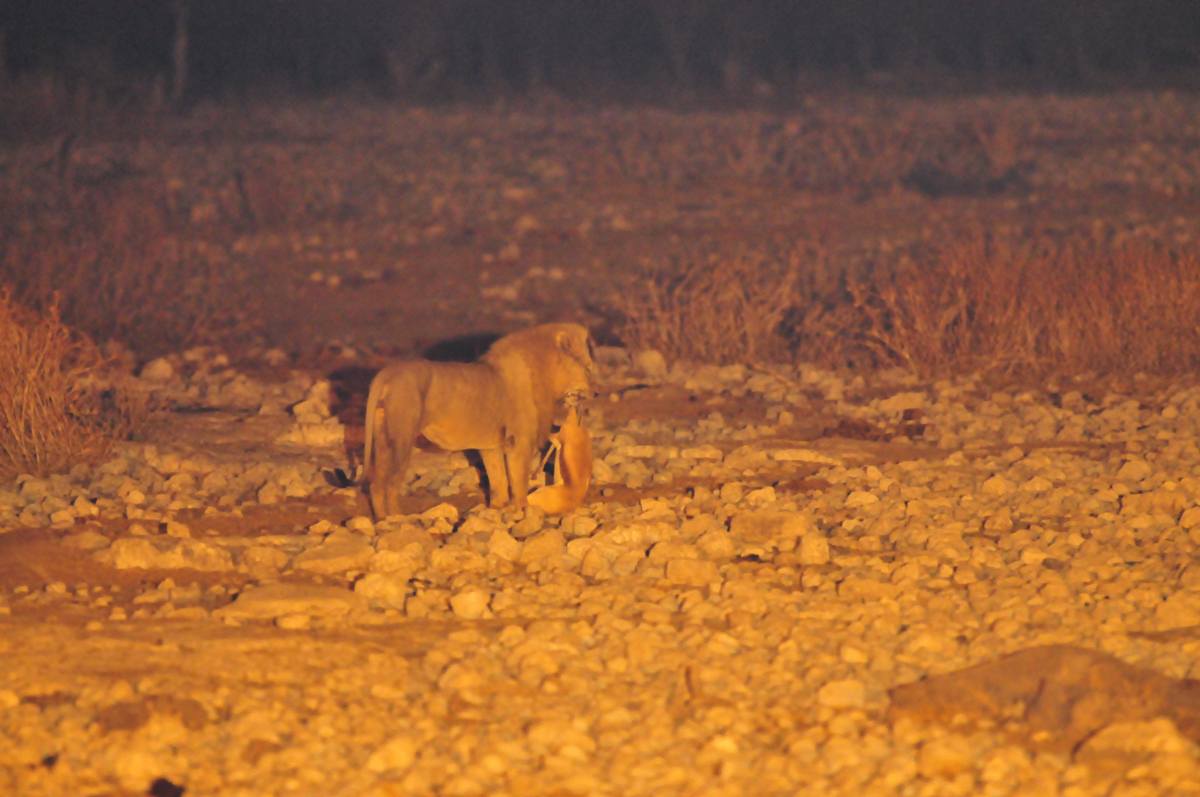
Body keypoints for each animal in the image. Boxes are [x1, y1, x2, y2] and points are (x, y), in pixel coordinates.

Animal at [363, 323, 595, 519]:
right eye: (588, 368)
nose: (596, 393)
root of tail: (387, 373)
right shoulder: (520, 441)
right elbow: (519, 479)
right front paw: (524, 511)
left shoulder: (491, 445)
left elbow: (497, 478)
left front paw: (498, 508)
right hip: (402, 438)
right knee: (391, 482)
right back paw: (397, 518)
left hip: (382, 439)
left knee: (376, 483)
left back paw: (381, 519)